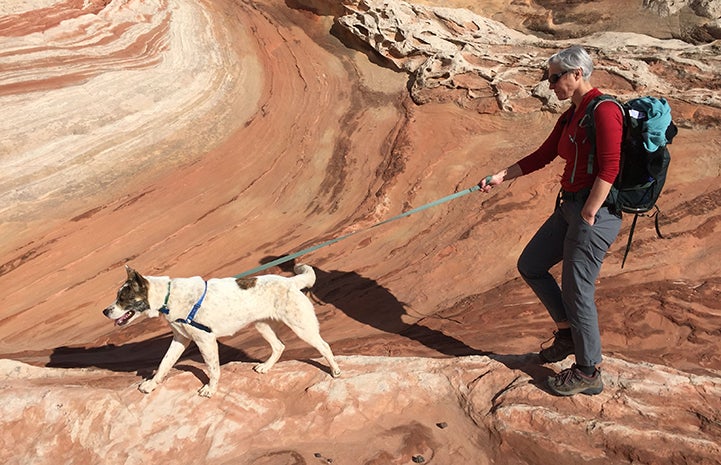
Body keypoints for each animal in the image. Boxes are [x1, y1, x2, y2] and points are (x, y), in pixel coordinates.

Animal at [102, 262, 340, 396]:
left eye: (123, 298)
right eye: (117, 296)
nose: (105, 311)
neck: (169, 296)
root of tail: (291, 282)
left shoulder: (205, 340)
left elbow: (213, 369)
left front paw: (210, 389)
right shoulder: (180, 339)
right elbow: (164, 364)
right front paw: (151, 385)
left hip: (302, 327)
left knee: (324, 345)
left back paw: (335, 370)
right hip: (262, 325)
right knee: (279, 346)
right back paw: (265, 367)